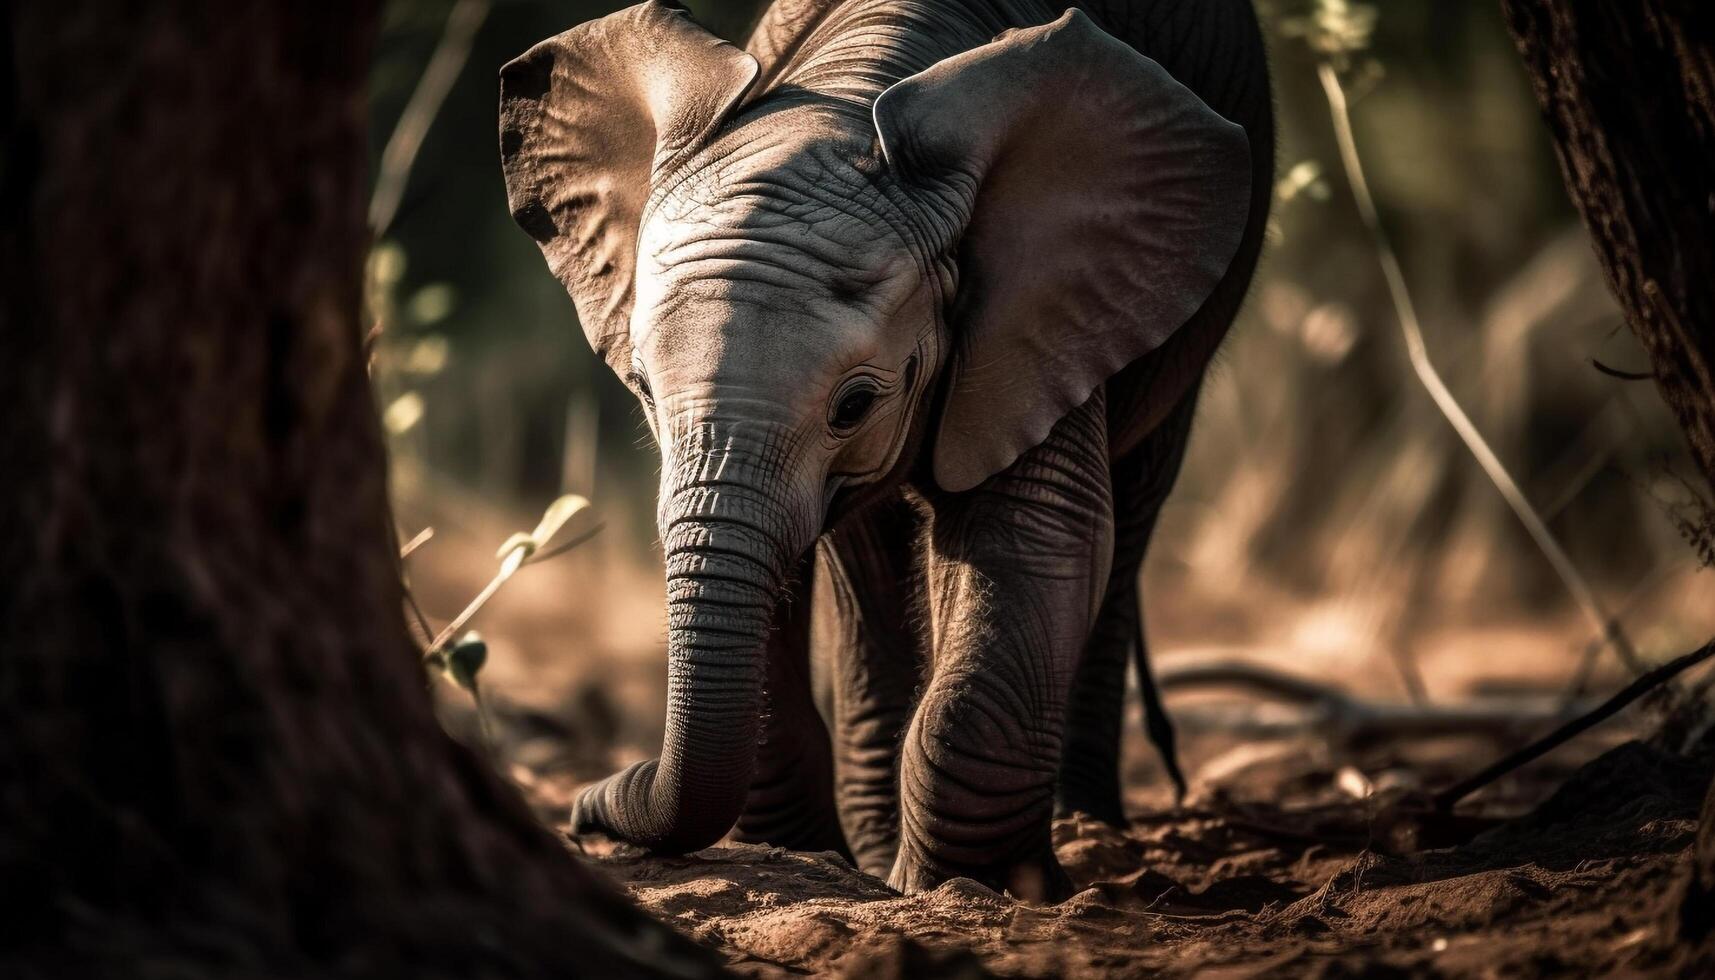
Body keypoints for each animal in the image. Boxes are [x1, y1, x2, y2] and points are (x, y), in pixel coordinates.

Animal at [500, 0, 1269, 899]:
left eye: (854, 405)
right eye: (644, 389)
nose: (583, 809)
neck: (847, 93)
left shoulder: (1043, 302)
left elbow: (1034, 537)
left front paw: (979, 888)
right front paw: (829, 860)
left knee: (1133, 507)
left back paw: (1085, 833)